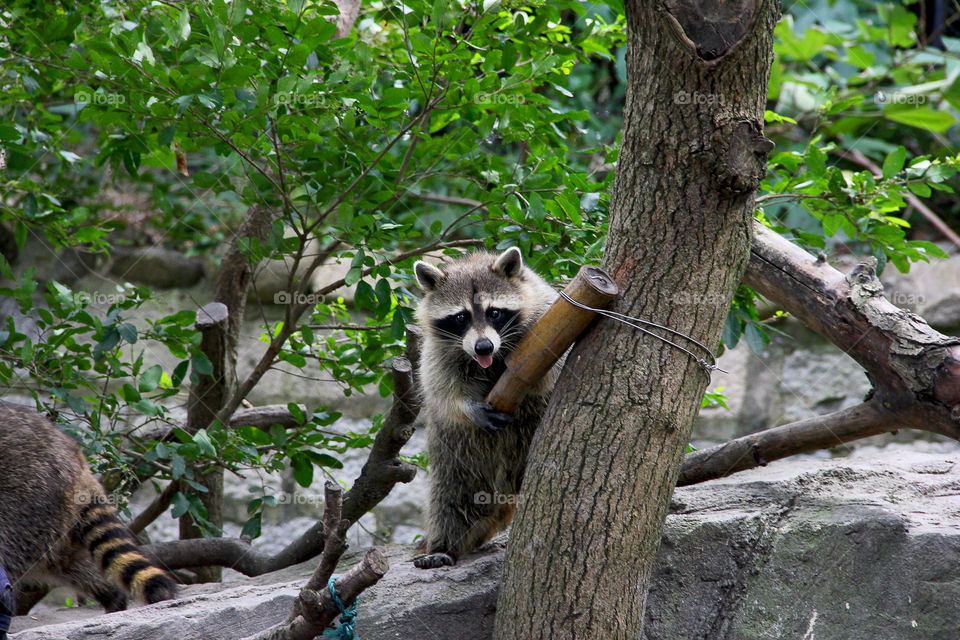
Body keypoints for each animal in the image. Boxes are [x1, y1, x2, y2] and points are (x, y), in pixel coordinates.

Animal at [412, 248, 564, 568]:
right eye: (460, 317)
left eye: (495, 312)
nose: (483, 347)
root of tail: (504, 490)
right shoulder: (439, 349)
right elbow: (439, 386)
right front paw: (466, 406)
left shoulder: (546, 314)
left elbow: (552, 369)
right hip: (456, 456)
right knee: (452, 499)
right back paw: (443, 546)